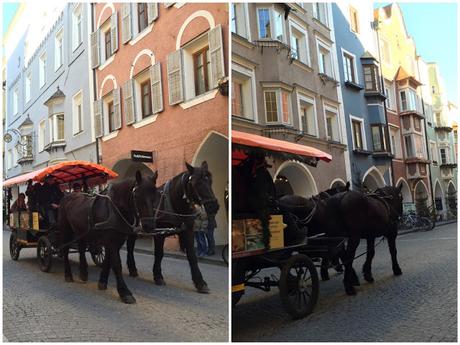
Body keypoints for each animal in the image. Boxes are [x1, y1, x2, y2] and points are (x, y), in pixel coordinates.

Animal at [57, 171, 159, 302]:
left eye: (156, 195)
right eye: (137, 196)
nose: (149, 226)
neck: (115, 207)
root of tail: (67, 196)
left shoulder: (116, 241)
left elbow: (108, 261)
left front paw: (102, 282)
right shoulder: (111, 241)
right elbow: (116, 264)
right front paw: (124, 292)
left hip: (81, 231)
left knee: (81, 248)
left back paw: (83, 273)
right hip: (66, 229)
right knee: (65, 249)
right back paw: (68, 274)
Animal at [126, 161, 219, 292]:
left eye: (210, 180)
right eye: (197, 183)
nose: (213, 206)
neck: (173, 203)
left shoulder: (187, 231)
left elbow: (192, 256)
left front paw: (200, 282)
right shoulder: (159, 233)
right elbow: (159, 254)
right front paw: (158, 276)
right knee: (129, 247)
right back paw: (132, 268)